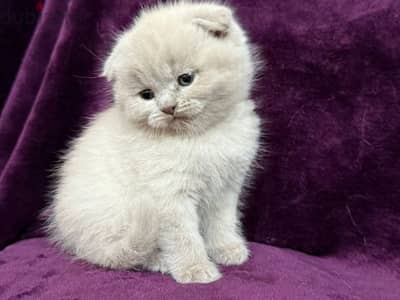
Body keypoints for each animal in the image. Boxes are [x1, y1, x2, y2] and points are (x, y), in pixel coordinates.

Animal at [46, 1, 262, 284]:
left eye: (185, 79)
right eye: (146, 95)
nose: (167, 107)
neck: (199, 137)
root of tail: (76, 239)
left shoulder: (227, 187)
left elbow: (221, 222)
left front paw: (226, 249)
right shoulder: (169, 194)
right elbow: (183, 236)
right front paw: (195, 269)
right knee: (124, 253)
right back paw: (161, 261)